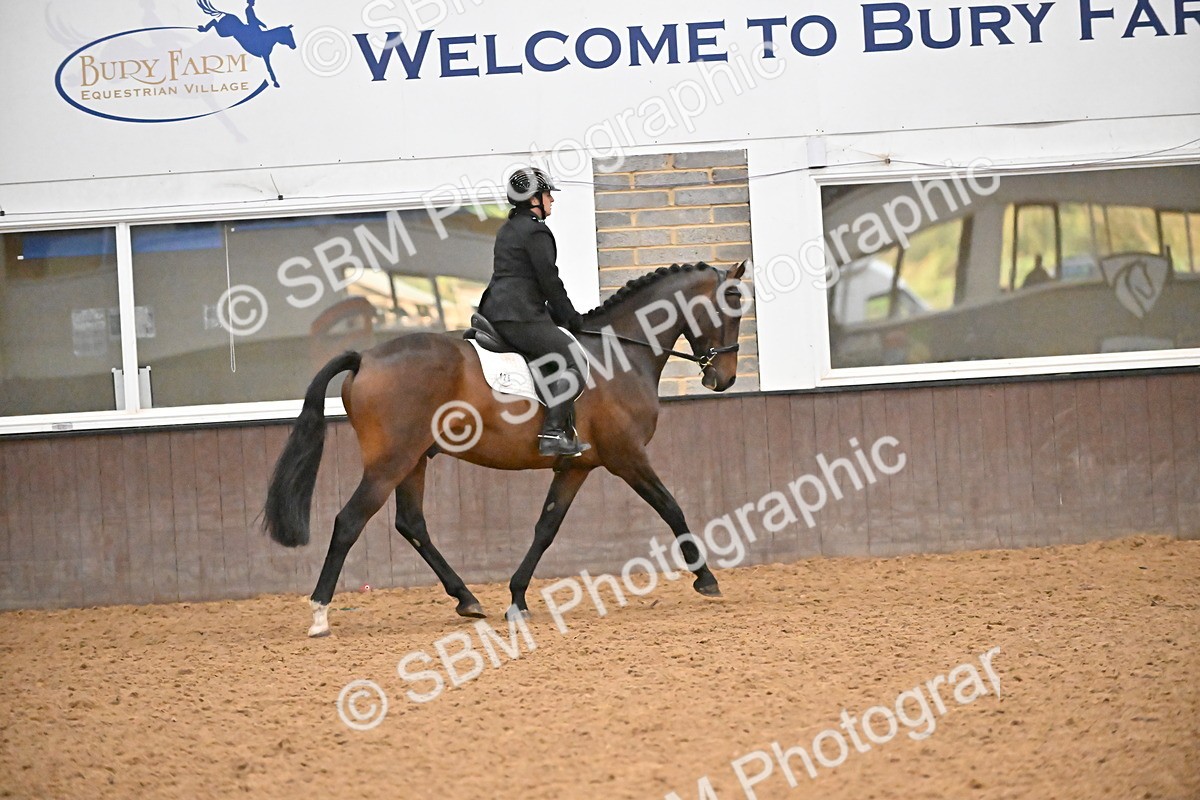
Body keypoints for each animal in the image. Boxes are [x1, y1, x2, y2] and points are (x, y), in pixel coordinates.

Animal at [263, 262, 749, 637]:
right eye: (733, 306)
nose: (722, 378)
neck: (620, 353)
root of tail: (364, 358)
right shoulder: (626, 457)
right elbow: (671, 508)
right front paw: (706, 579)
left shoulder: (576, 467)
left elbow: (546, 528)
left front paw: (517, 598)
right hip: (390, 463)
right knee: (349, 522)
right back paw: (320, 615)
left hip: (414, 461)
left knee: (411, 523)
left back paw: (466, 599)